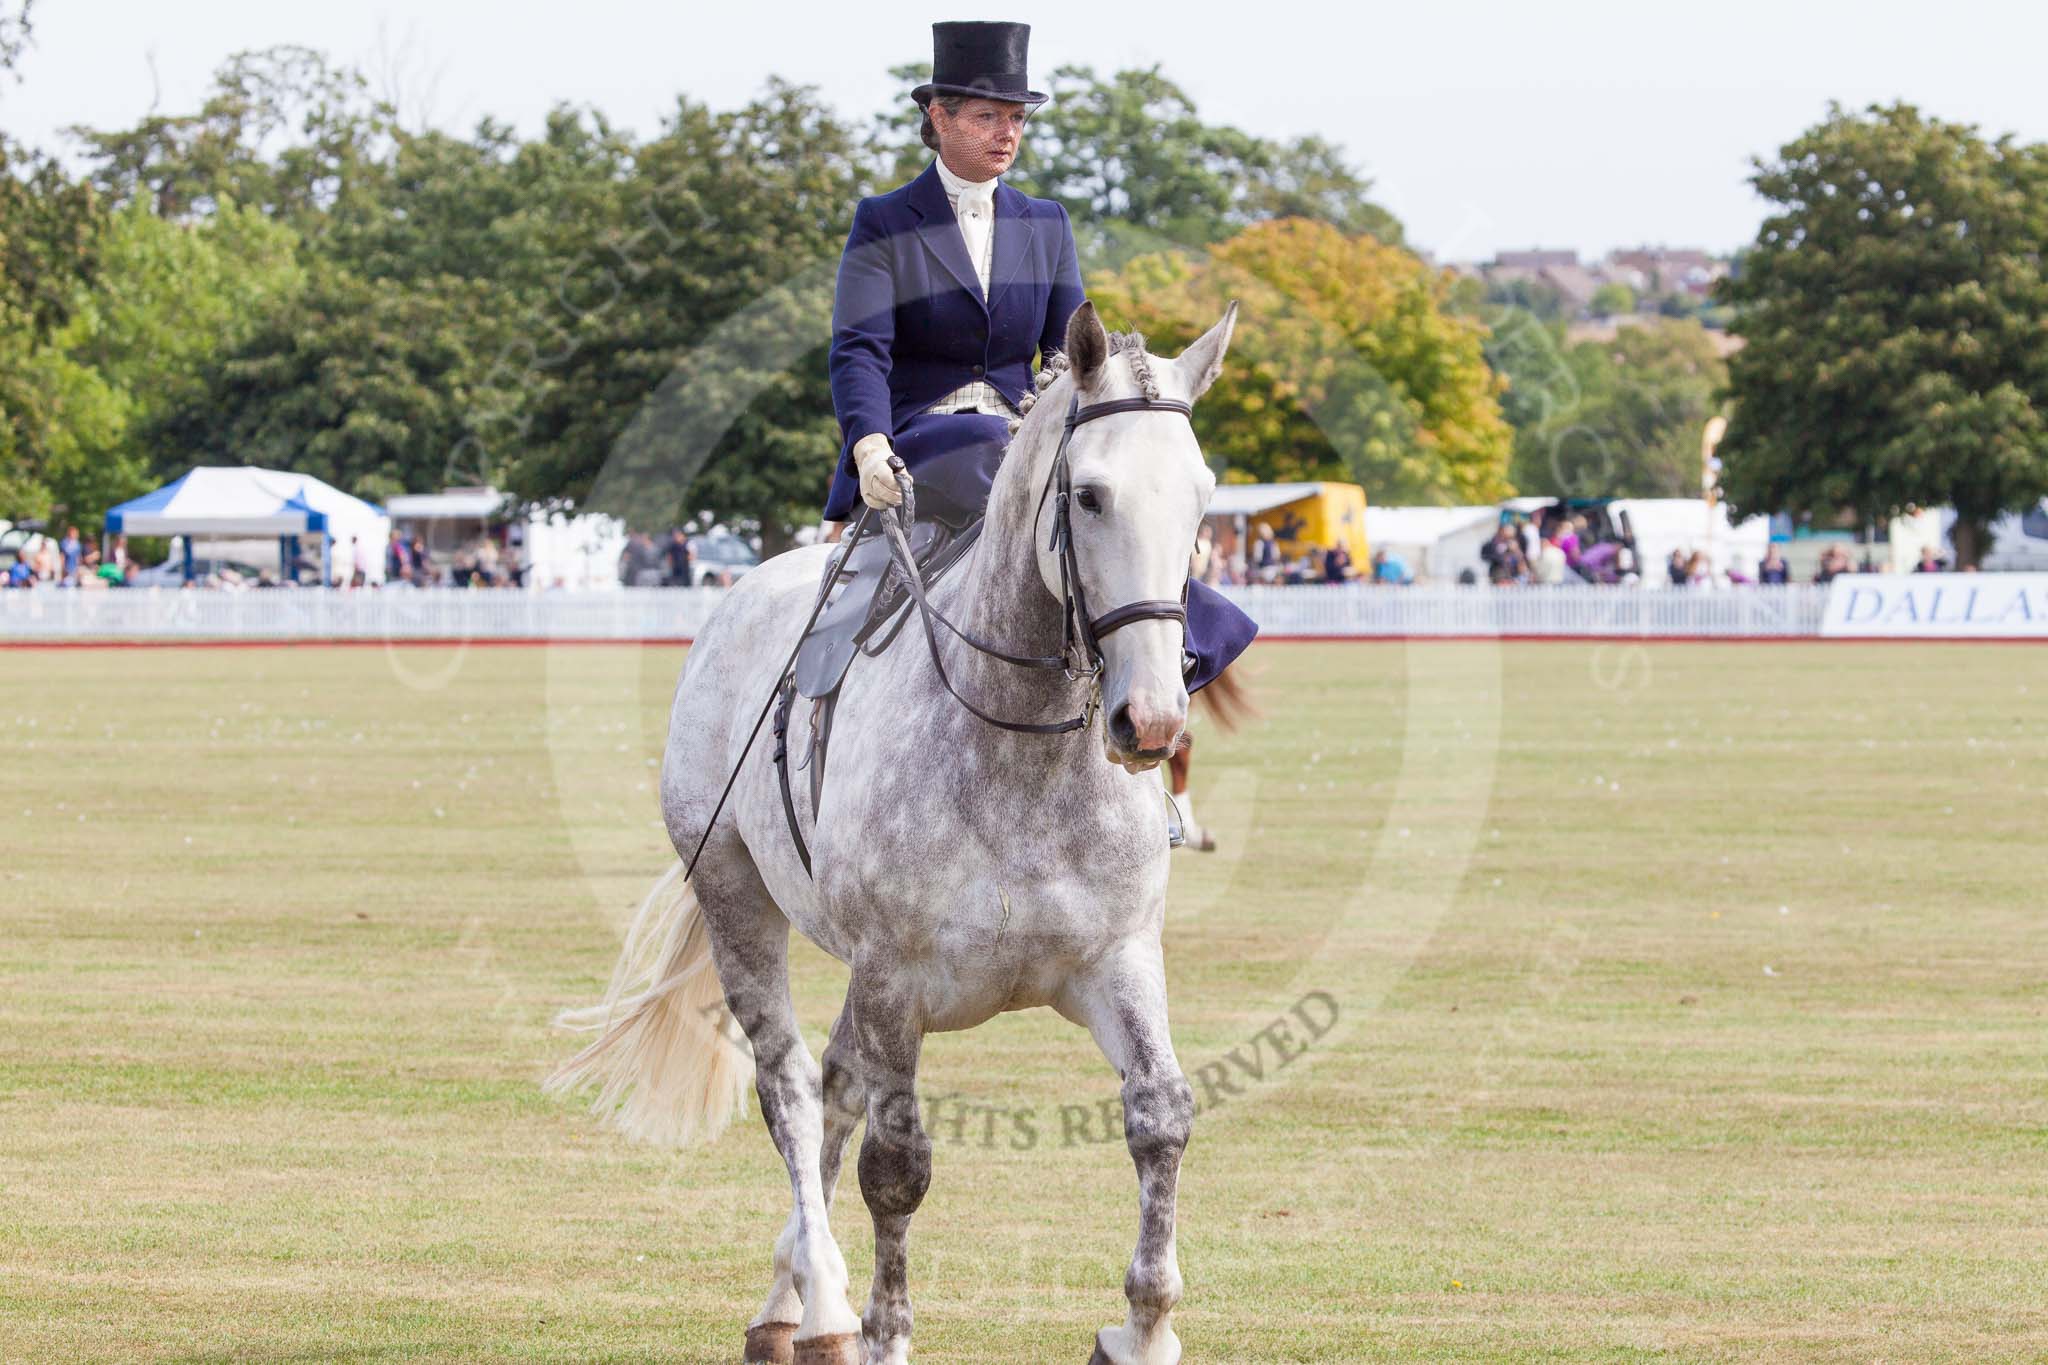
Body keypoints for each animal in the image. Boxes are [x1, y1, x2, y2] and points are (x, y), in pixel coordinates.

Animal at [548, 300, 1228, 1365]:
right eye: (1089, 496)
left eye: (1202, 500)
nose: (1151, 720)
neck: (1021, 749)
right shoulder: (894, 978)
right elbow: (896, 1165)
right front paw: (884, 1329)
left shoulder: (1116, 960)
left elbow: (1161, 1115)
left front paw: (1144, 1327)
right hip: (740, 903)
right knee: (790, 1089)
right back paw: (822, 1301)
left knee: (831, 1085)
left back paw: (788, 1292)